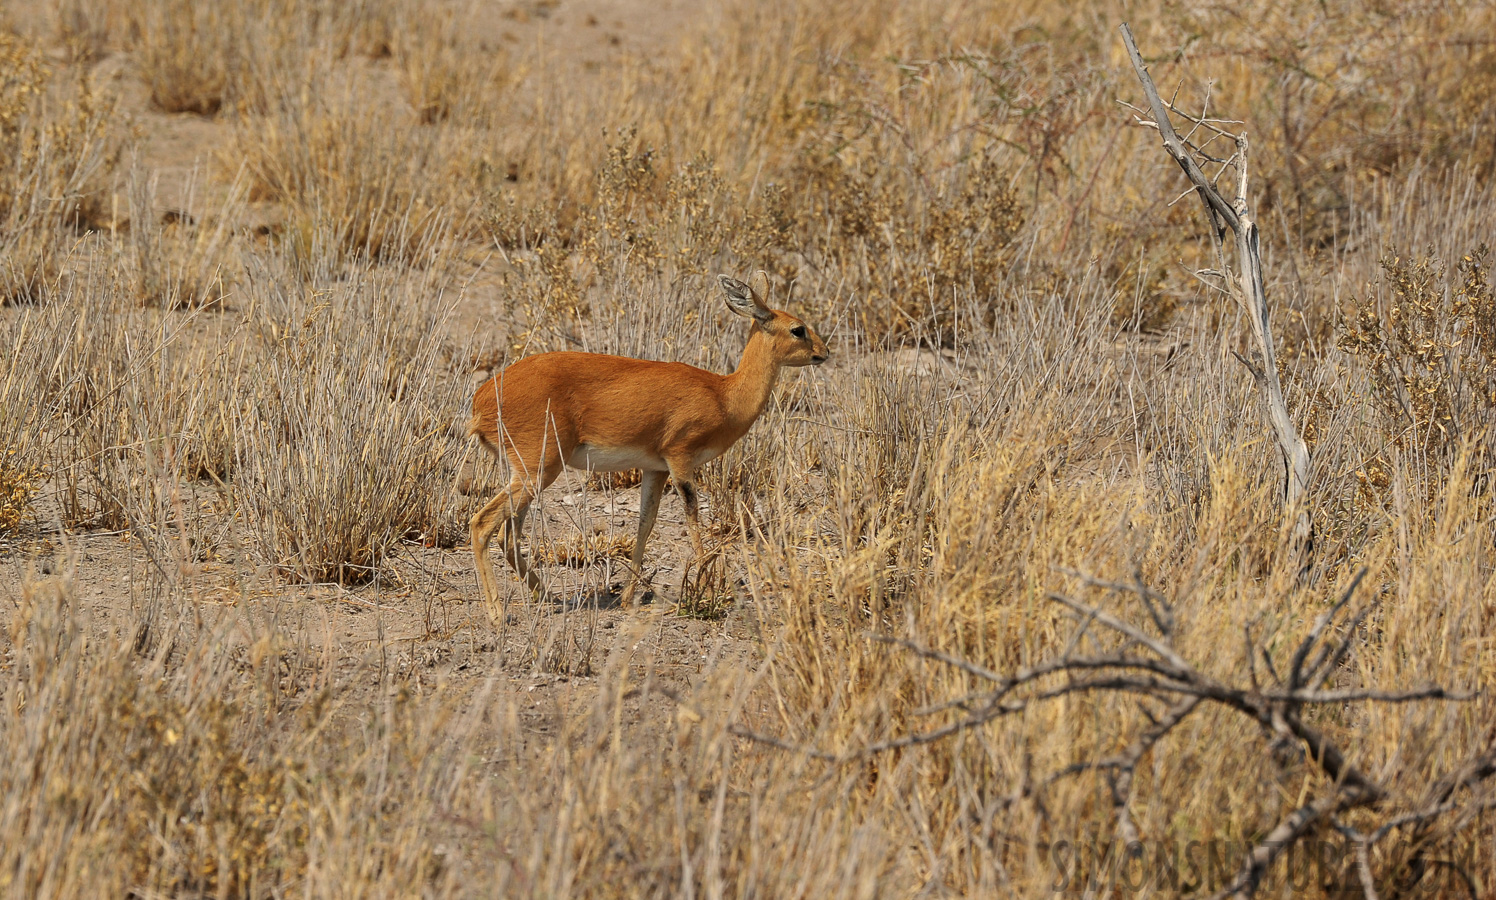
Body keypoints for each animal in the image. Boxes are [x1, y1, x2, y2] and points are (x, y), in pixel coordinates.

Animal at [466, 269, 831, 612]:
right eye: (798, 329)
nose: (825, 352)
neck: (724, 395)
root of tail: (482, 400)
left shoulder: (656, 469)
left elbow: (646, 524)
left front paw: (628, 597)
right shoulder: (680, 459)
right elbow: (691, 515)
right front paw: (708, 586)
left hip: (527, 474)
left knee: (508, 536)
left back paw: (547, 596)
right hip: (538, 471)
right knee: (483, 524)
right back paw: (497, 614)